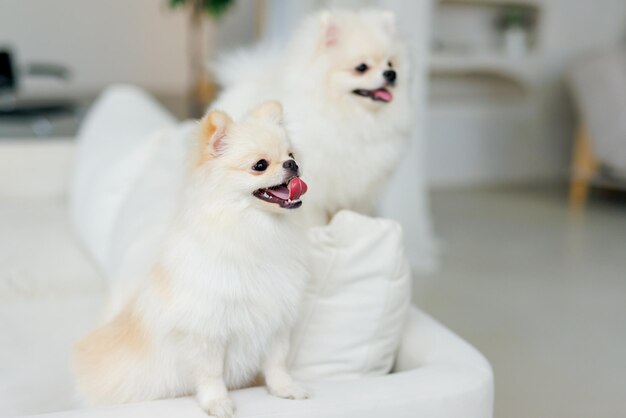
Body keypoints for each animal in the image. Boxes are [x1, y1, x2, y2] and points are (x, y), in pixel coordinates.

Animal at [74, 102, 308, 418]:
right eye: (260, 165)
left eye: (291, 155)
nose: (292, 166)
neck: (254, 231)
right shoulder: (205, 331)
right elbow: (211, 373)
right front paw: (217, 403)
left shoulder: (277, 322)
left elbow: (277, 363)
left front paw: (285, 389)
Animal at [212, 7, 412, 225]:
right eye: (361, 68)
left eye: (390, 63)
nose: (391, 74)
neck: (352, 119)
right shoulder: (317, 189)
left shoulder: (359, 190)